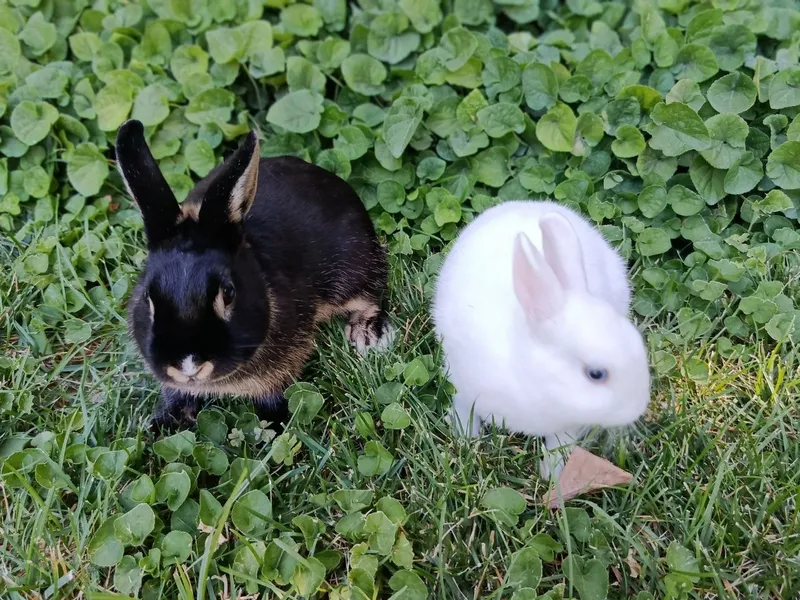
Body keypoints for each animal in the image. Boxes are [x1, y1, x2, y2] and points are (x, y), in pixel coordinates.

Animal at [116, 119, 392, 431]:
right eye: (147, 297)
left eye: (228, 293)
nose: (188, 367)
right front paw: (161, 425)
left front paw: (274, 426)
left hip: (352, 270)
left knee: (370, 294)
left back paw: (365, 334)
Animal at [432, 199, 650, 479]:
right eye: (596, 374)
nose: (639, 407)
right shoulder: (462, 380)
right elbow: (464, 406)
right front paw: (464, 434)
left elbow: (559, 444)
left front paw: (553, 474)